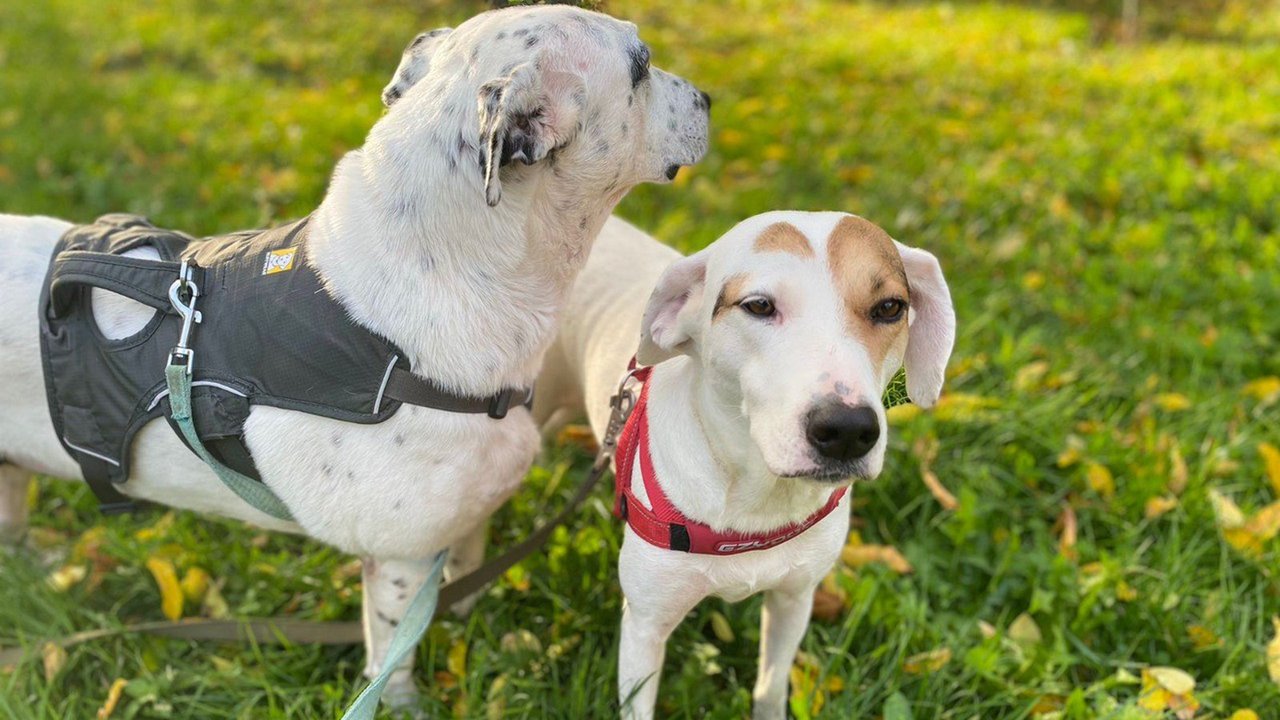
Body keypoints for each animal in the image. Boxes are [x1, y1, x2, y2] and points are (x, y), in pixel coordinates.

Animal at [0, 5, 711, 702]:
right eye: (640, 66)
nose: (708, 98)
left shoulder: (464, 527)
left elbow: (461, 583)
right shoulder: (399, 563)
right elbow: (392, 662)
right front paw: (404, 705)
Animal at [535, 210, 957, 712]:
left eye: (890, 307)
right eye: (758, 306)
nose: (847, 431)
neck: (755, 498)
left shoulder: (795, 599)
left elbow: (771, 685)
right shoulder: (645, 627)